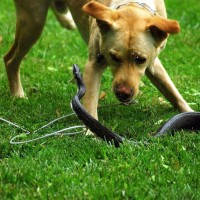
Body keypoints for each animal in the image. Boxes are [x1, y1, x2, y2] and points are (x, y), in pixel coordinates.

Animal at [3, 0, 193, 120]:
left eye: (140, 59)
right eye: (113, 57)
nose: (123, 93)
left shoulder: (153, 63)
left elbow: (172, 91)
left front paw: (188, 112)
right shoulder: (94, 64)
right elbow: (90, 100)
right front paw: (91, 133)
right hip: (32, 22)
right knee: (9, 59)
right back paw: (17, 94)